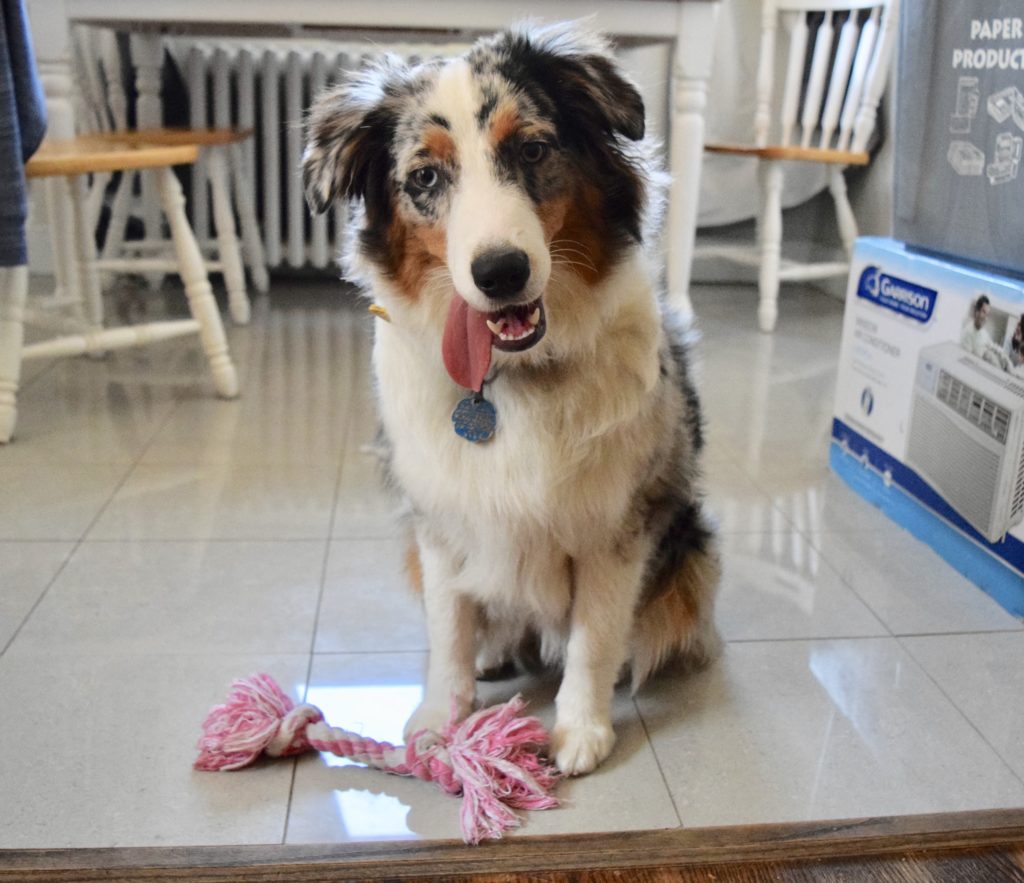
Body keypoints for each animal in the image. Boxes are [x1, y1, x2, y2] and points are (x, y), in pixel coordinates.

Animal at [303, 20, 720, 778]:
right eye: (425, 177)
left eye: (530, 149)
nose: (501, 273)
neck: (510, 378)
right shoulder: (438, 523)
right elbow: (449, 628)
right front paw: (442, 719)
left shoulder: (616, 526)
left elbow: (594, 635)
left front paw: (580, 730)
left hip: (691, 552)